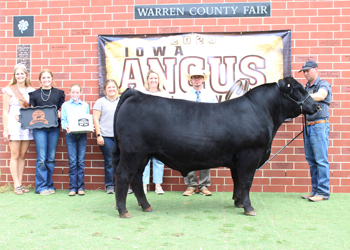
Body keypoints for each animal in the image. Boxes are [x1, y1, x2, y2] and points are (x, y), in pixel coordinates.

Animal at [113, 75, 320, 217]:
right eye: (298, 90)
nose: (317, 107)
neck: (262, 111)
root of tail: (136, 94)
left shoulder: (238, 159)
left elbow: (237, 181)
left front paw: (238, 202)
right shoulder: (250, 154)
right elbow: (246, 181)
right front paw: (249, 208)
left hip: (143, 155)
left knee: (136, 179)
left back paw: (146, 206)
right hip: (132, 152)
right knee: (123, 176)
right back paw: (123, 211)